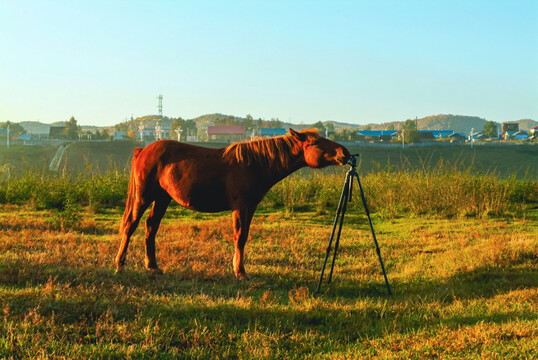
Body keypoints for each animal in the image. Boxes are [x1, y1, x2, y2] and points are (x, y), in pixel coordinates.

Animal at [115, 129, 350, 278]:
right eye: (315, 142)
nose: (345, 153)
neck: (255, 163)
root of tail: (144, 150)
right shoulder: (240, 207)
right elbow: (239, 237)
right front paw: (240, 271)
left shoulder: (251, 208)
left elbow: (244, 237)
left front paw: (239, 269)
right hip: (144, 196)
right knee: (131, 226)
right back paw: (120, 264)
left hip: (162, 198)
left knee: (151, 227)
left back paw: (153, 266)